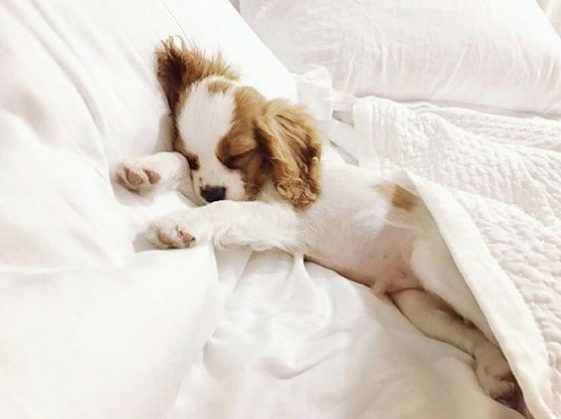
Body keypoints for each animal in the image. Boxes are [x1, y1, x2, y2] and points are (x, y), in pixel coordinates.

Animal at [116, 38, 520, 406]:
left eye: (238, 155)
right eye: (192, 156)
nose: (212, 191)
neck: (270, 175)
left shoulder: (276, 215)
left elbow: (227, 210)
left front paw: (182, 222)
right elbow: (191, 178)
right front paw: (148, 169)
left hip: (436, 265)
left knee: (489, 324)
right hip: (418, 305)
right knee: (474, 334)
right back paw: (495, 369)